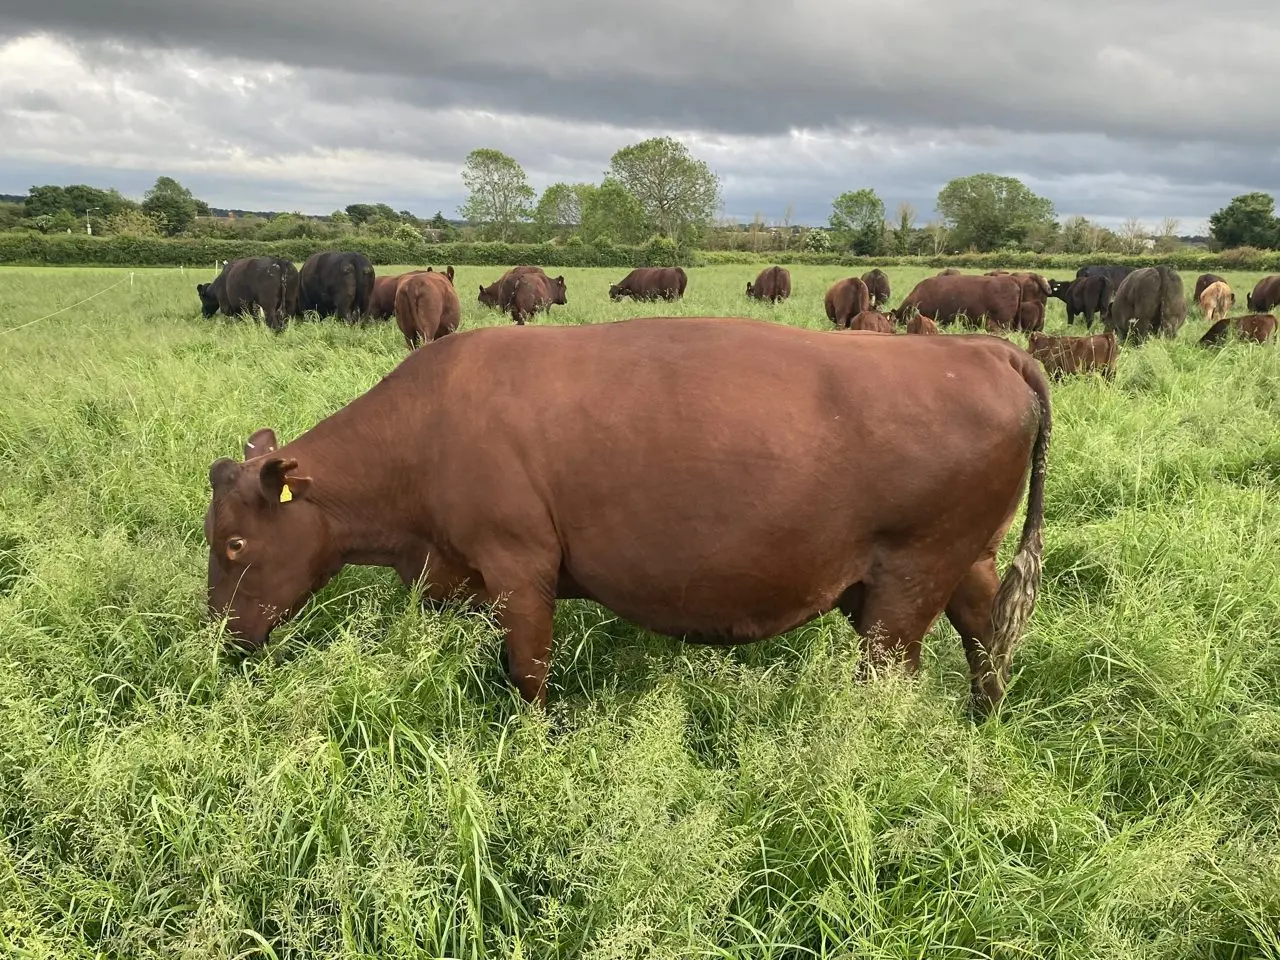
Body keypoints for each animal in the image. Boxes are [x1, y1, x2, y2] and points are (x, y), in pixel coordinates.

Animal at [204, 316, 1051, 716]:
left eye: (236, 543)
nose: (221, 644)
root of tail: (984, 350)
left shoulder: (519, 565)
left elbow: (529, 671)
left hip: (908, 581)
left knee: (893, 678)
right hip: (967, 560)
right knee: (988, 643)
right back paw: (982, 728)